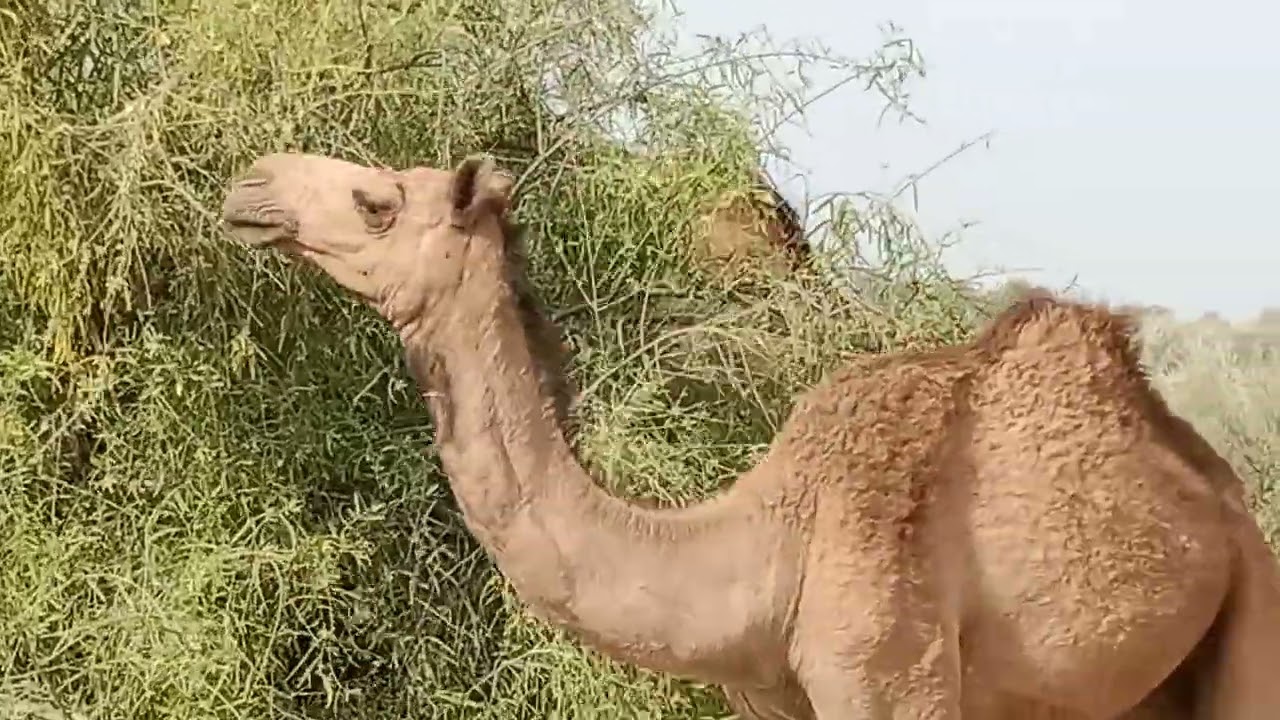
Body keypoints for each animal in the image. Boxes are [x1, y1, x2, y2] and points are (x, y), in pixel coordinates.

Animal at [217, 151, 1280, 719]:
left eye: (377, 202)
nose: (251, 187)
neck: (763, 544)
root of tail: (1219, 488)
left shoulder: (891, 680)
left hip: (1252, 611)